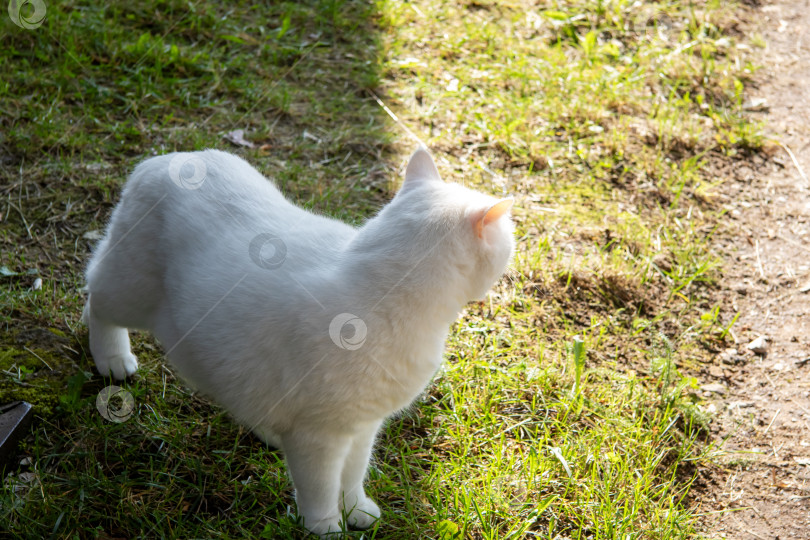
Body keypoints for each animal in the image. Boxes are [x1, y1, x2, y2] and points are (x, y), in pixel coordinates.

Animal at [82, 144, 512, 536]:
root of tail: (166, 158)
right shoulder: (320, 438)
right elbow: (321, 490)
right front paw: (326, 529)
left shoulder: (362, 428)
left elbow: (352, 478)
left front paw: (356, 511)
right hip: (129, 291)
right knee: (93, 297)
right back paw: (113, 360)